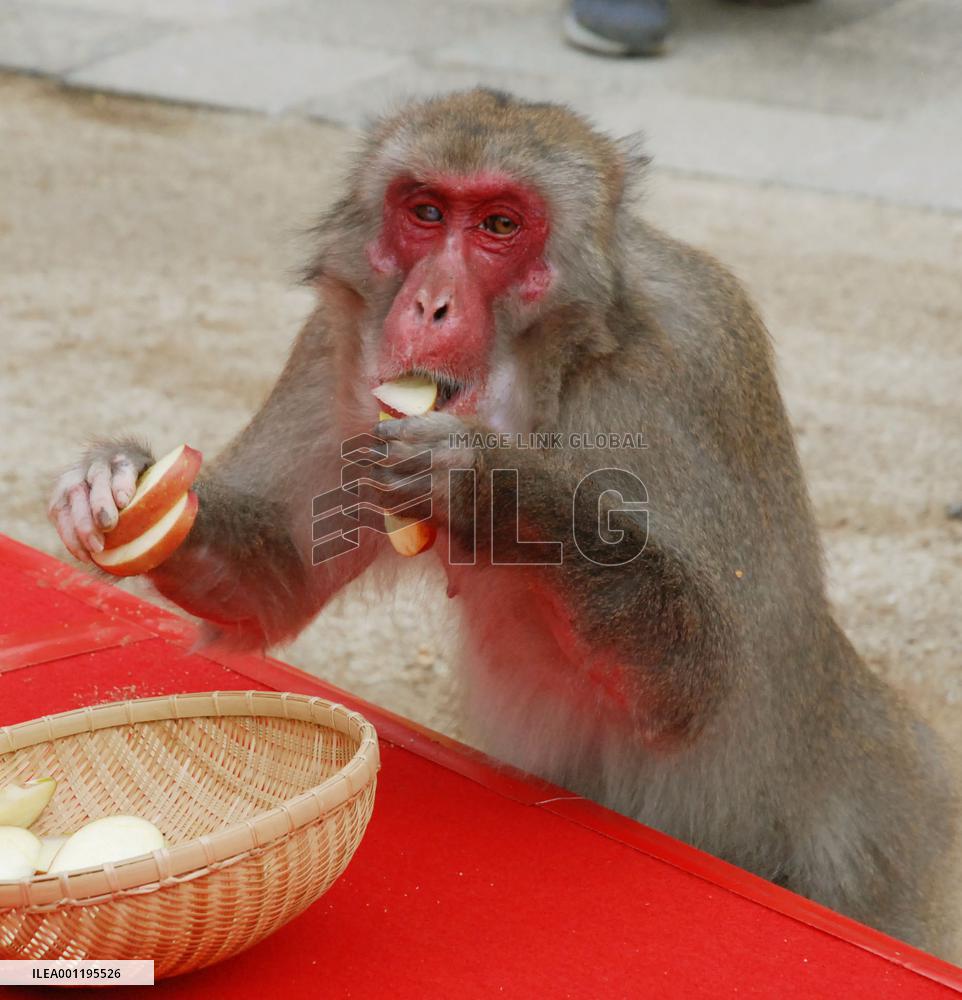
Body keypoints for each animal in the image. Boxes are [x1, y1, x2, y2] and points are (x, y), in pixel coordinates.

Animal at [49, 90, 957, 955]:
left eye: (499, 225)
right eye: (424, 211)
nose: (429, 304)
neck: (562, 377)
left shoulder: (689, 368)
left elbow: (697, 684)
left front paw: (489, 493)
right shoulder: (334, 345)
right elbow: (277, 580)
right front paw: (115, 479)